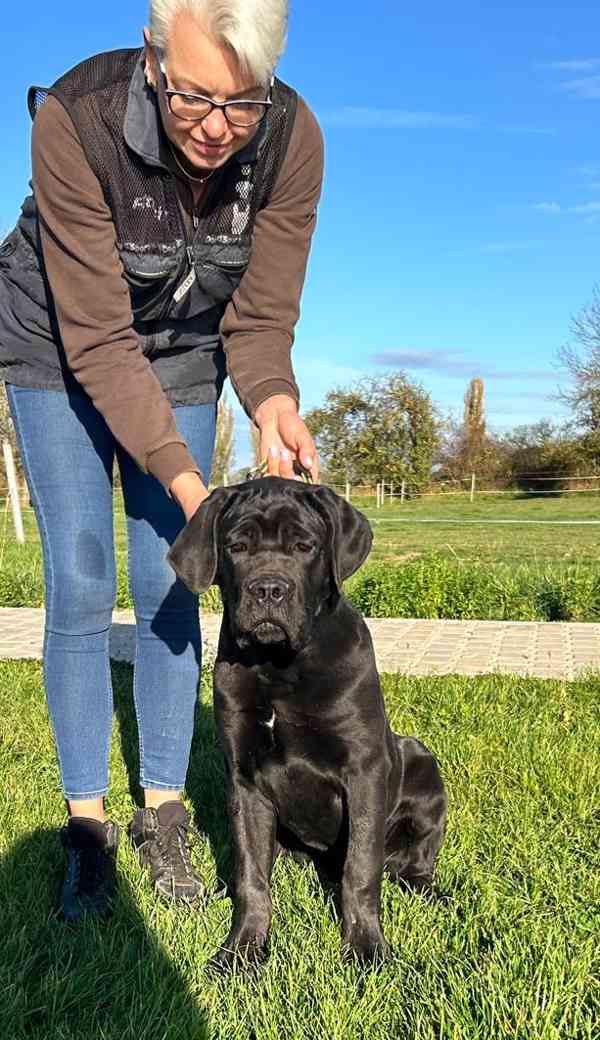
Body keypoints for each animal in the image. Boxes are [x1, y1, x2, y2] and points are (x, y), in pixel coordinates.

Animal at [168, 478, 445, 965]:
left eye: (304, 545)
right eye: (237, 546)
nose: (268, 589)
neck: (280, 664)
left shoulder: (364, 770)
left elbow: (361, 867)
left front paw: (366, 948)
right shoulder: (244, 779)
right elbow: (251, 874)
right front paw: (243, 949)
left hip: (421, 759)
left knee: (413, 859)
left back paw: (429, 889)